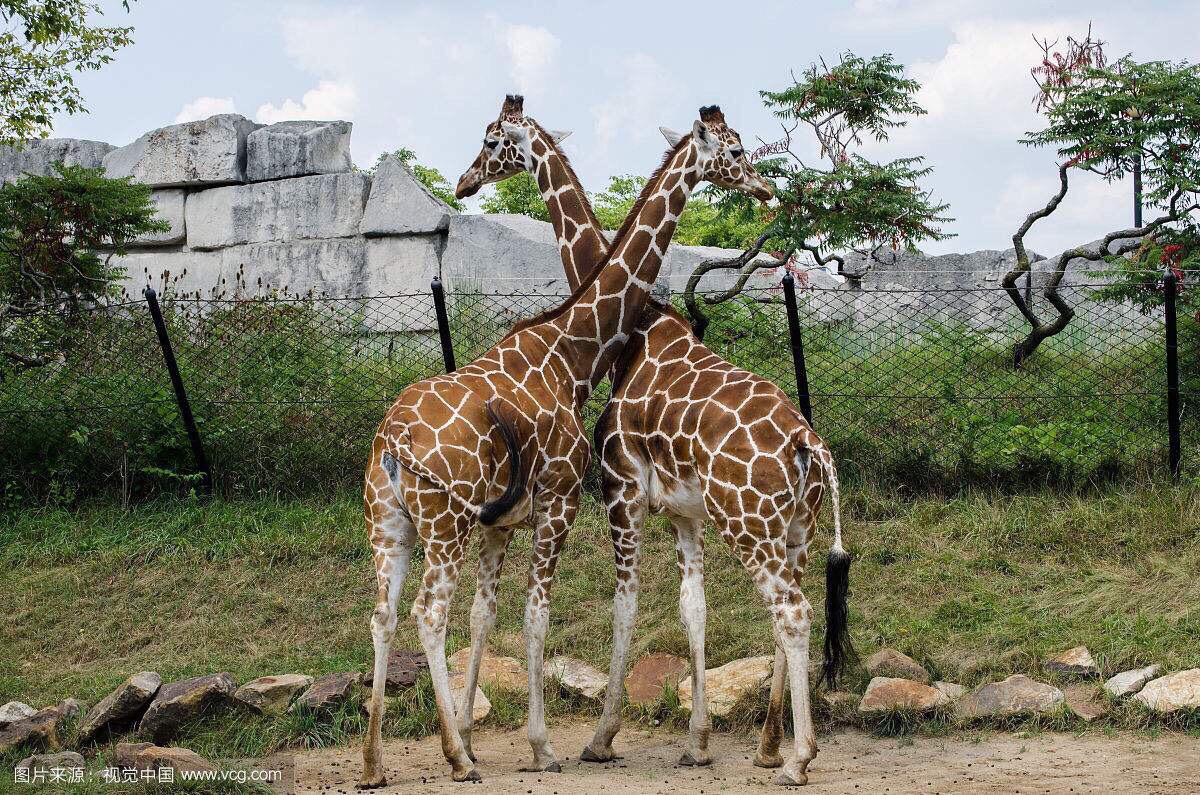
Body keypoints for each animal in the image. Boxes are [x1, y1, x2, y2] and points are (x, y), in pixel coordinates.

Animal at [355, 105, 772, 792]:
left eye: (490, 142)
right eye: (735, 151)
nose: (465, 181)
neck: (574, 348)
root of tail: (393, 439)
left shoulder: (509, 522)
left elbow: (490, 614)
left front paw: (483, 734)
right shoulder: (562, 502)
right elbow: (535, 614)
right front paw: (539, 745)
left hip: (392, 526)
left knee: (385, 614)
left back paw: (376, 762)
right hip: (442, 524)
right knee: (424, 613)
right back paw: (454, 759)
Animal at [453, 96, 859, 787]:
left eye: (489, 141)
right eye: (735, 148)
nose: (463, 182)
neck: (633, 335)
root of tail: (808, 440)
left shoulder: (621, 492)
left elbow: (626, 605)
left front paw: (600, 739)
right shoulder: (683, 513)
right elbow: (693, 610)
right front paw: (697, 742)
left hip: (749, 523)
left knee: (792, 612)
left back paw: (799, 759)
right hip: (796, 529)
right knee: (791, 611)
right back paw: (770, 746)